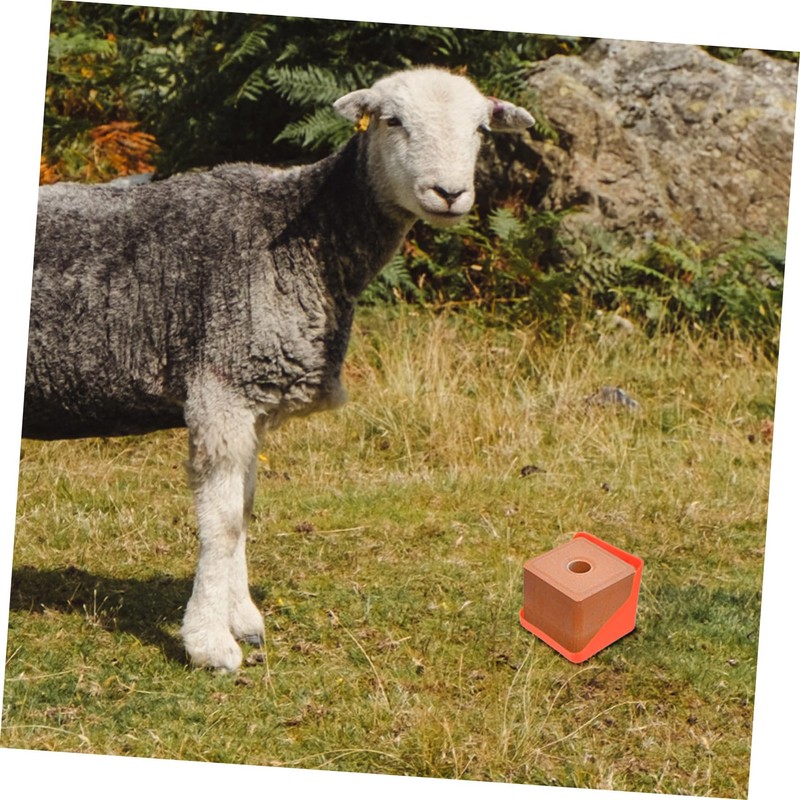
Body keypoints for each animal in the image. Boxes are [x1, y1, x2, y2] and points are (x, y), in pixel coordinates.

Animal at [24, 67, 534, 671]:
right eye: (392, 121)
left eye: (481, 129)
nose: (449, 193)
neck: (305, 237)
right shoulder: (219, 388)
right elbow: (221, 522)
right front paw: (210, 644)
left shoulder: (254, 400)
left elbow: (244, 507)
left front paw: (242, 619)